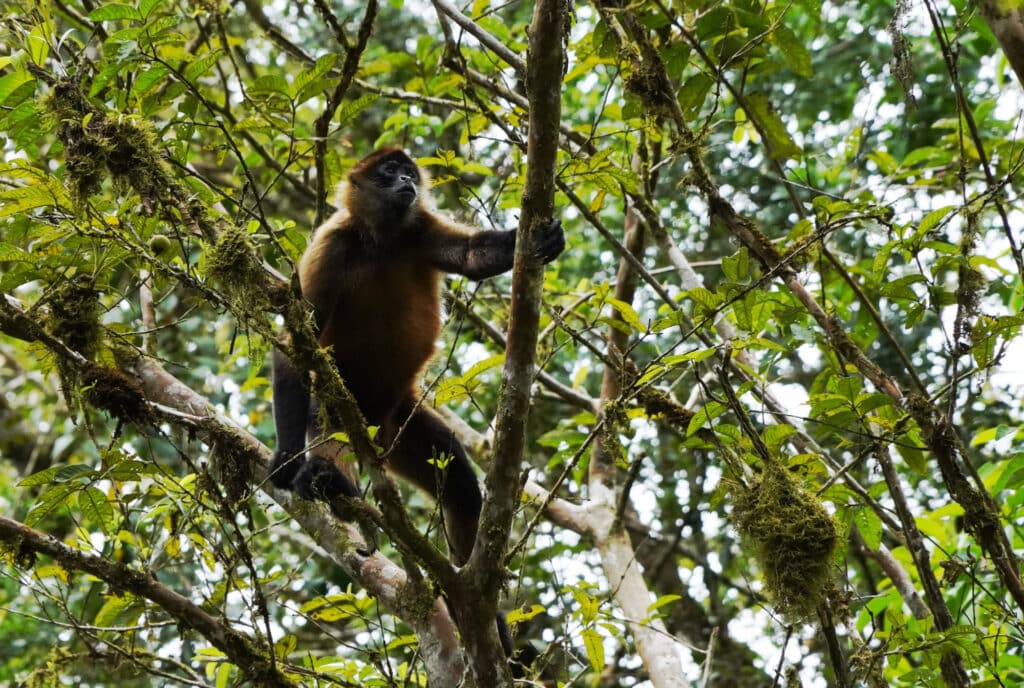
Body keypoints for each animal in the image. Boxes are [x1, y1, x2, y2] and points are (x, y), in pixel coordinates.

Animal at [269, 147, 564, 569]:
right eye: (390, 171)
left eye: (408, 172)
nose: (407, 181)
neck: (382, 240)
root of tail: (377, 424)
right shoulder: (332, 243)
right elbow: (292, 346)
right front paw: (287, 458)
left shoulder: (418, 227)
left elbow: (471, 256)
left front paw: (540, 238)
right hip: (342, 404)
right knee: (327, 421)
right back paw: (332, 485)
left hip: (402, 422)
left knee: (459, 485)